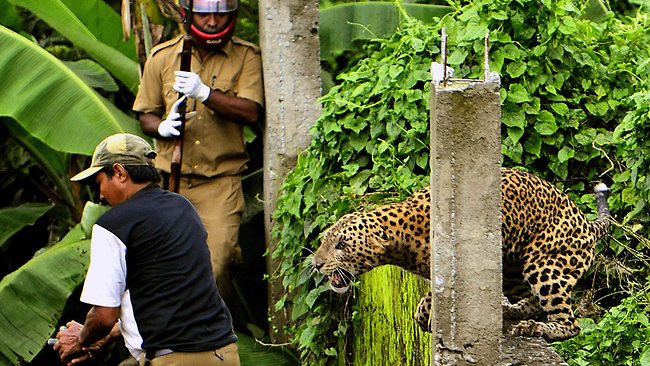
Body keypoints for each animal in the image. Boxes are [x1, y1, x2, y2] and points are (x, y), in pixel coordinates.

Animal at [312, 167, 612, 342]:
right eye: (324, 240)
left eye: (341, 245)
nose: (316, 264)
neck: (401, 237)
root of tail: (587, 223)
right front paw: (424, 315)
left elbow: (436, 296)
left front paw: (428, 315)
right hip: (514, 268)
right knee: (534, 301)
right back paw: (510, 310)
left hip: (544, 265)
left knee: (570, 324)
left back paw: (536, 328)